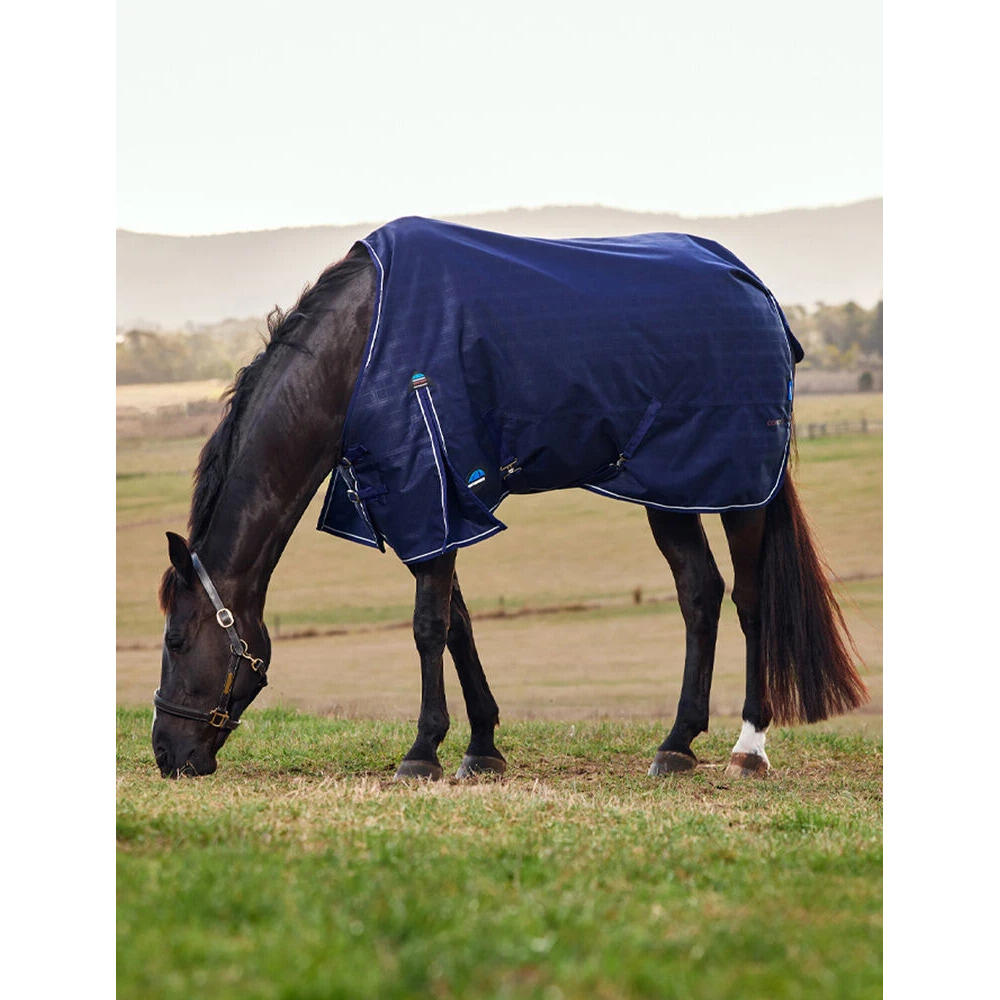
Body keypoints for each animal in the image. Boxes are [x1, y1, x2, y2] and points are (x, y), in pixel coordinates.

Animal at [152, 217, 867, 780]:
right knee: (700, 592)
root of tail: (756, 290)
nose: (166, 753)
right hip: (671, 487)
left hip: (739, 490)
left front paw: (422, 752)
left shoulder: (426, 494)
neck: (360, 351)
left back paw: (749, 748)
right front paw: (482, 748)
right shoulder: (436, 509)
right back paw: (676, 744)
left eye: (178, 640)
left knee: (749, 599)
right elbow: (457, 625)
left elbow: (427, 626)